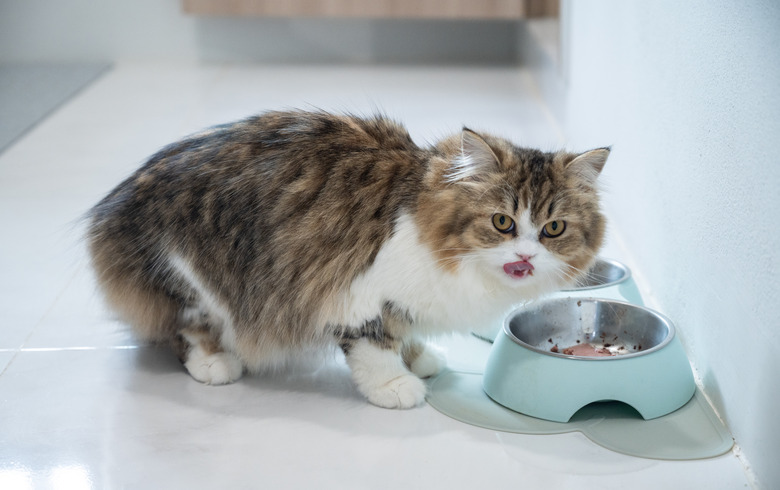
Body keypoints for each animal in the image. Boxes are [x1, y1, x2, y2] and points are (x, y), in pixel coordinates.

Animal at [87, 109, 608, 408]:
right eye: (502, 222)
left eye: (553, 229)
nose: (525, 254)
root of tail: (109, 208)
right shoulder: (362, 295)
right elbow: (375, 346)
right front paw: (396, 386)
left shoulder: (408, 301)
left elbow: (407, 333)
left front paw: (420, 359)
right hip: (190, 278)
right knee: (186, 329)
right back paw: (216, 363)